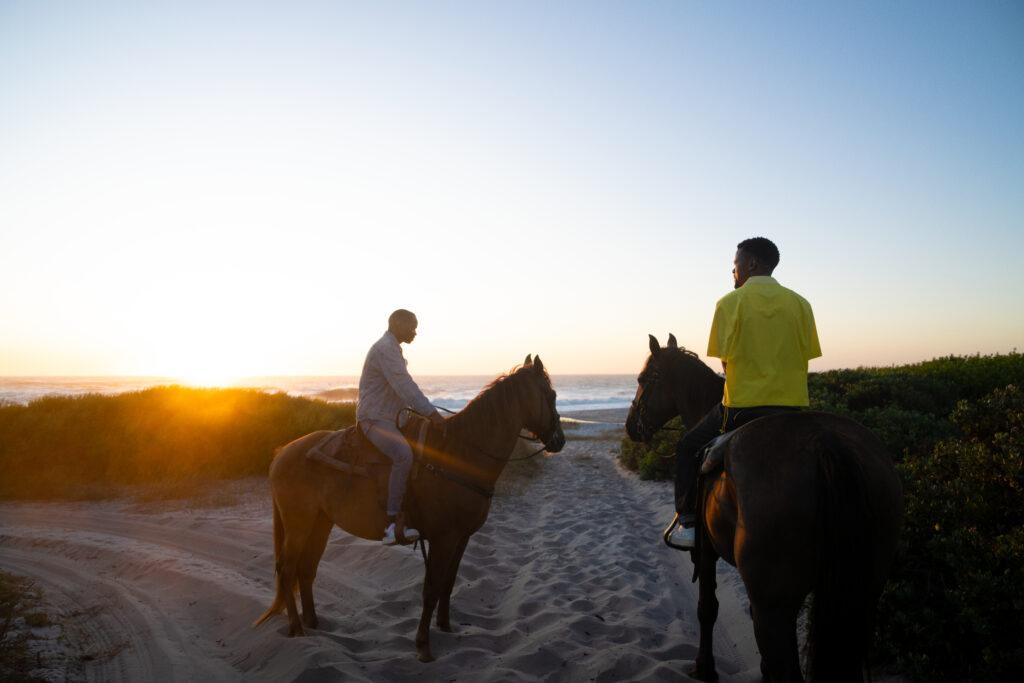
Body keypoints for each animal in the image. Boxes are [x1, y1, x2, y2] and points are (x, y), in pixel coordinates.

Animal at [252, 358, 565, 663]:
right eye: (551, 395)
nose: (559, 440)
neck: (460, 456)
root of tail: (281, 453)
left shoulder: (462, 537)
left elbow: (448, 583)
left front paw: (446, 626)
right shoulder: (443, 539)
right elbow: (431, 589)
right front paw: (423, 646)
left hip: (320, 522)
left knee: (306, 569)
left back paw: (313, 622)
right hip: (299, 524)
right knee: (287, 569)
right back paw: (296, 628)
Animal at [622, 335, 905, 683]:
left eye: (642, 379)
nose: (631, 426)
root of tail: (823, 443)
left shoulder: (706, 551)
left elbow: (707, 608)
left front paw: (705, 667)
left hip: (776, 604)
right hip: (861, 593)